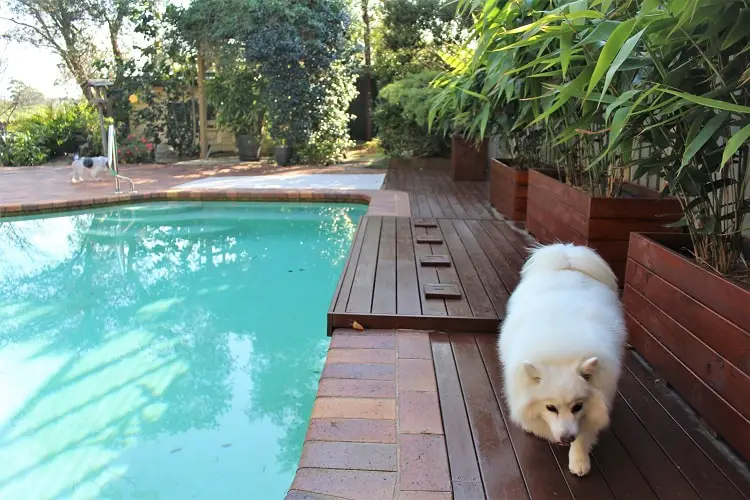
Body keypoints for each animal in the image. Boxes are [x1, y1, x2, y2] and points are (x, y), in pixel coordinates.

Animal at [500, 242, 628, 476]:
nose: (566, 438)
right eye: (551, 408)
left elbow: (584, 433)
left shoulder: (595, 404)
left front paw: (579, 460)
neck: (561, 354)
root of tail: (567, 259)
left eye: (578, 407)